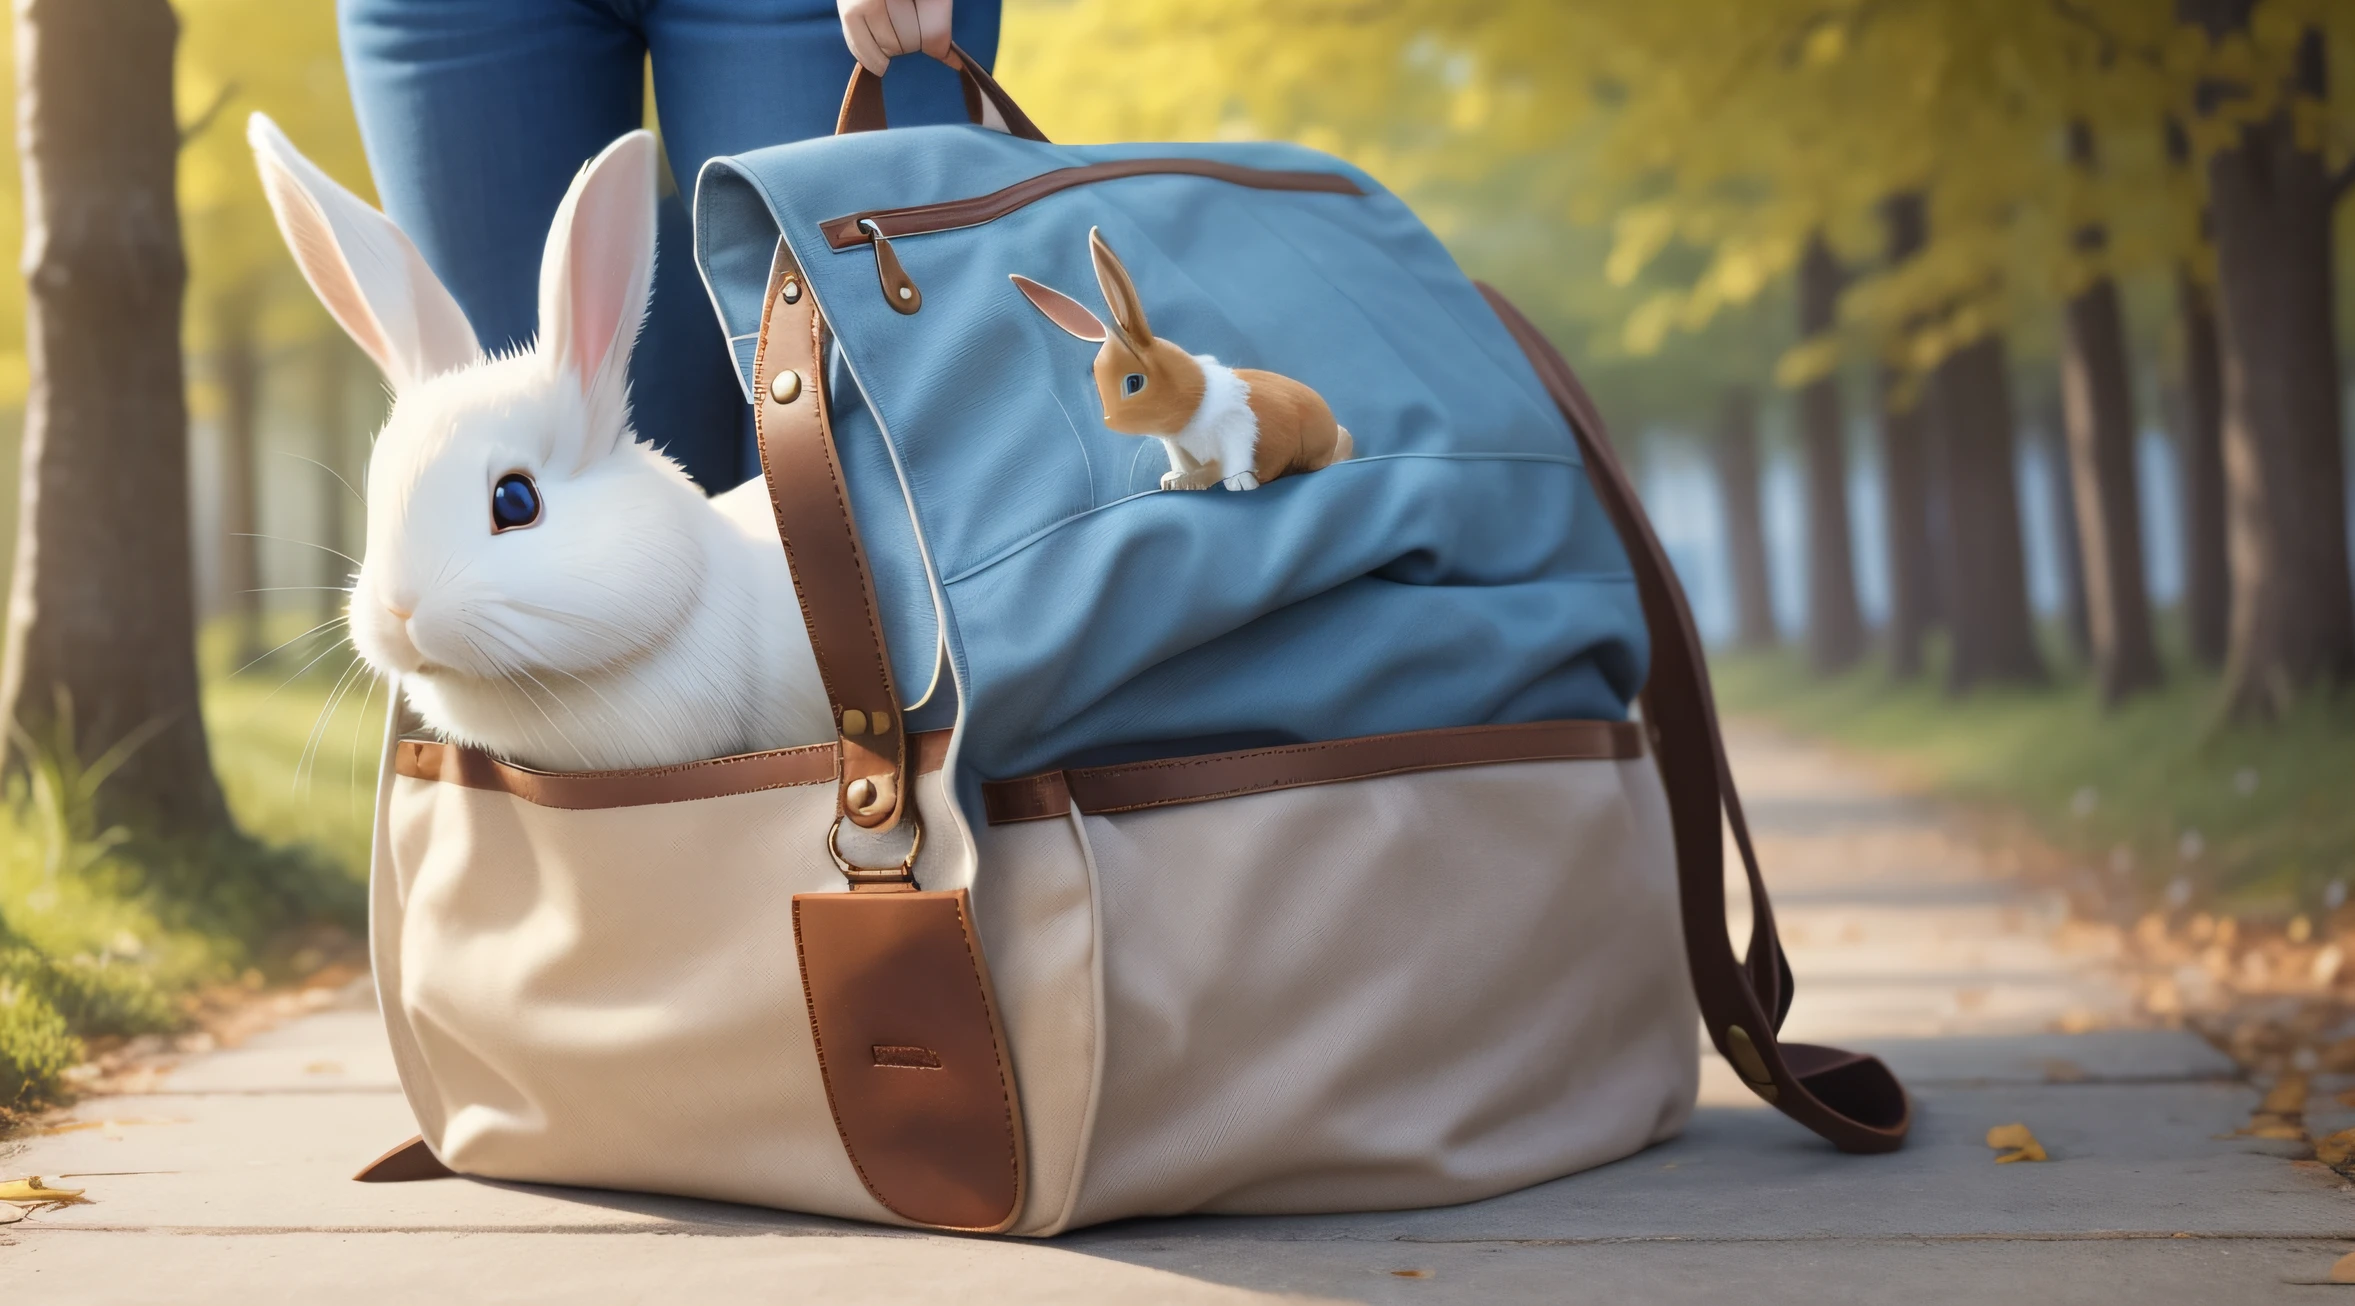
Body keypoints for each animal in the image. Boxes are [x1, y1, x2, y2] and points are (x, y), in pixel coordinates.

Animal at [1007, 227, 1356, 494]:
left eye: (1134, 382)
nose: (1109, 422)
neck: (1192, 398)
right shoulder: (1177, 448)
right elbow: (1186, 467)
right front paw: (1175, 480)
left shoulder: (1237, 431)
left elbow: (1234, 462)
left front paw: (1240, 482)